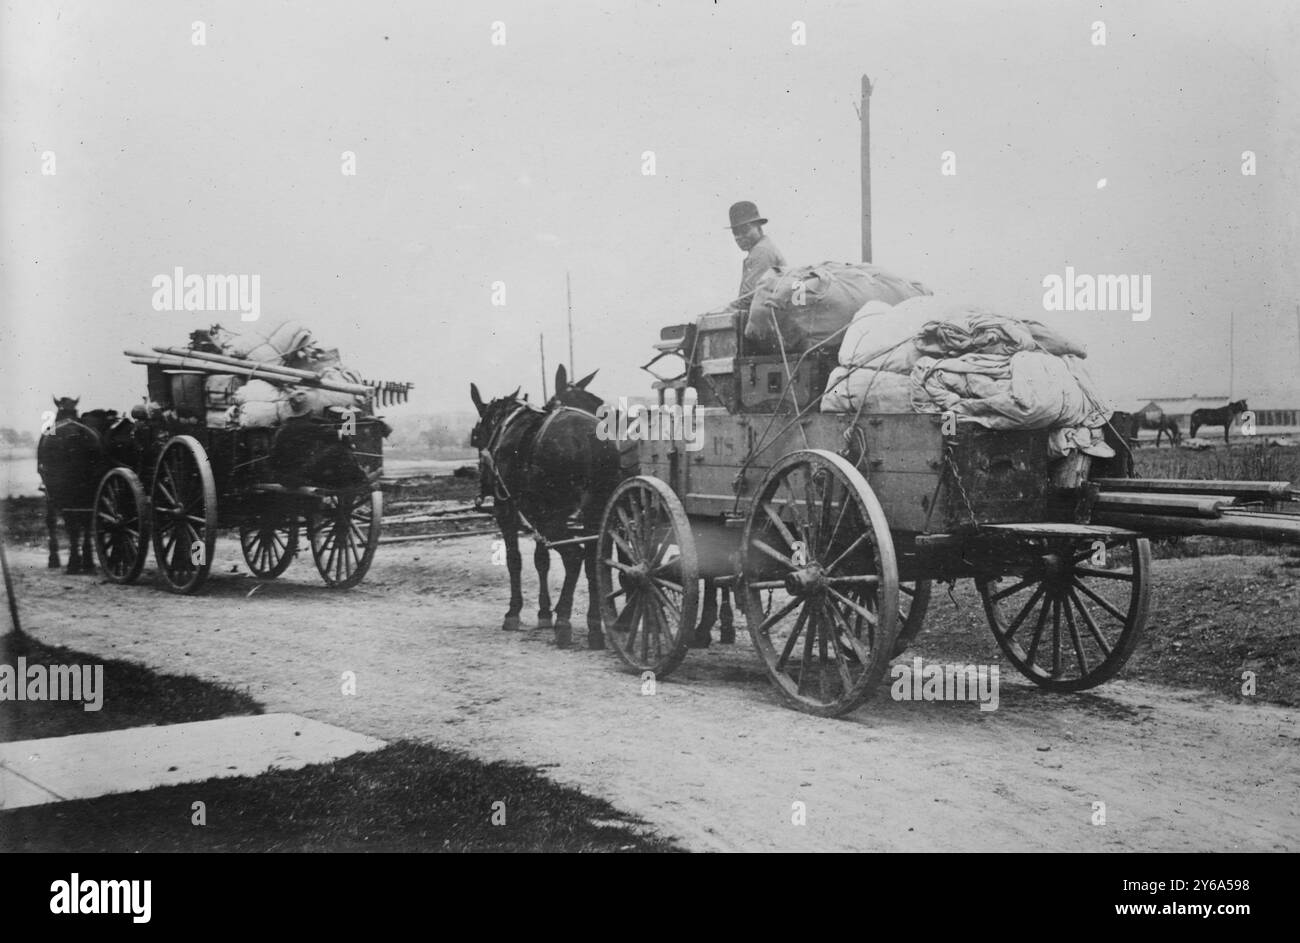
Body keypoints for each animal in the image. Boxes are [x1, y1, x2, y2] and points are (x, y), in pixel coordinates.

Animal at [36, 392, 136, 569]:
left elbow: (52, 521)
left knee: (73, 522)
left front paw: (54, 558)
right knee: (88, 520)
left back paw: (74, 562)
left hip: (65, 488)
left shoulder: (50, 492)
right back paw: (88, 560)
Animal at [473, 366, 624, 647]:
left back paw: (564, 621)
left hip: (552, 517)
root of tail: (590, 440)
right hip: (592, 513)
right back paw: (595, 627)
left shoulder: (508, 512)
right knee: (592, 561)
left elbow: (514, 560)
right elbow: (542, 560)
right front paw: (544, 612)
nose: (485, 480)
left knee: (574, 557)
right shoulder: (537, 517)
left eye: (476, 438)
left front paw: (514, 612)